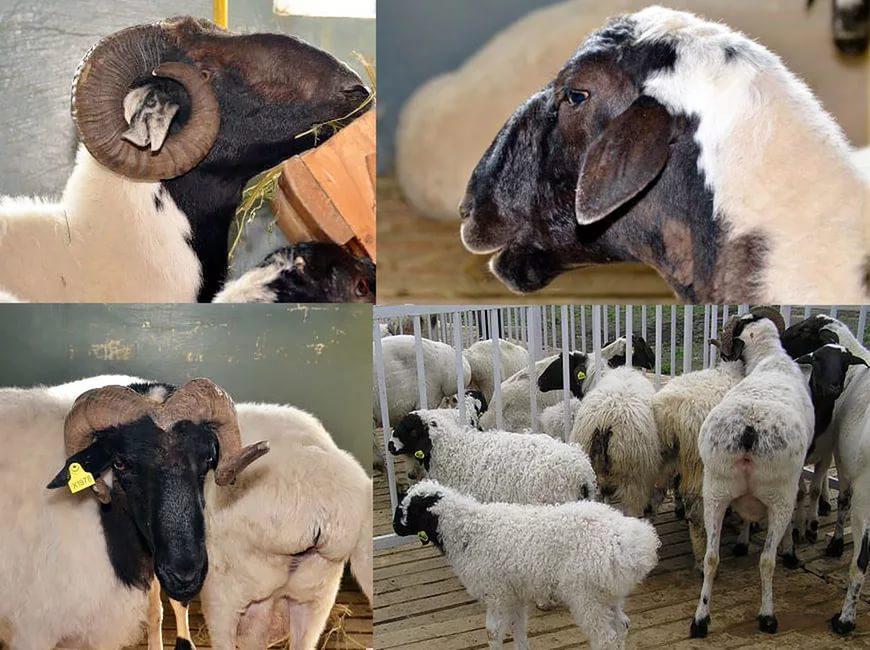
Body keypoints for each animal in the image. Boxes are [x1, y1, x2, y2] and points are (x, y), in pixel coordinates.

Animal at [393, 480, 660, 649]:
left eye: (410, 510)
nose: (395, 527)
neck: (468, 530)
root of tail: (629, 542)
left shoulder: (497, 594)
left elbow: (493, 633)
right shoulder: (514, 595)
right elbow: (518, 628)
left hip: (586, 595)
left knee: (605, 638)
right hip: (608, 593)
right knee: (622, 627)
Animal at [690, 316, 814, 637]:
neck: (770, 358)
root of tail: (749, 428)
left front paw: (742, 541)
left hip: (716, 488)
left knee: (711, 557)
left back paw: (700, 620)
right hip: (779, 494)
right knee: (767, 561)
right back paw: (767, 616)